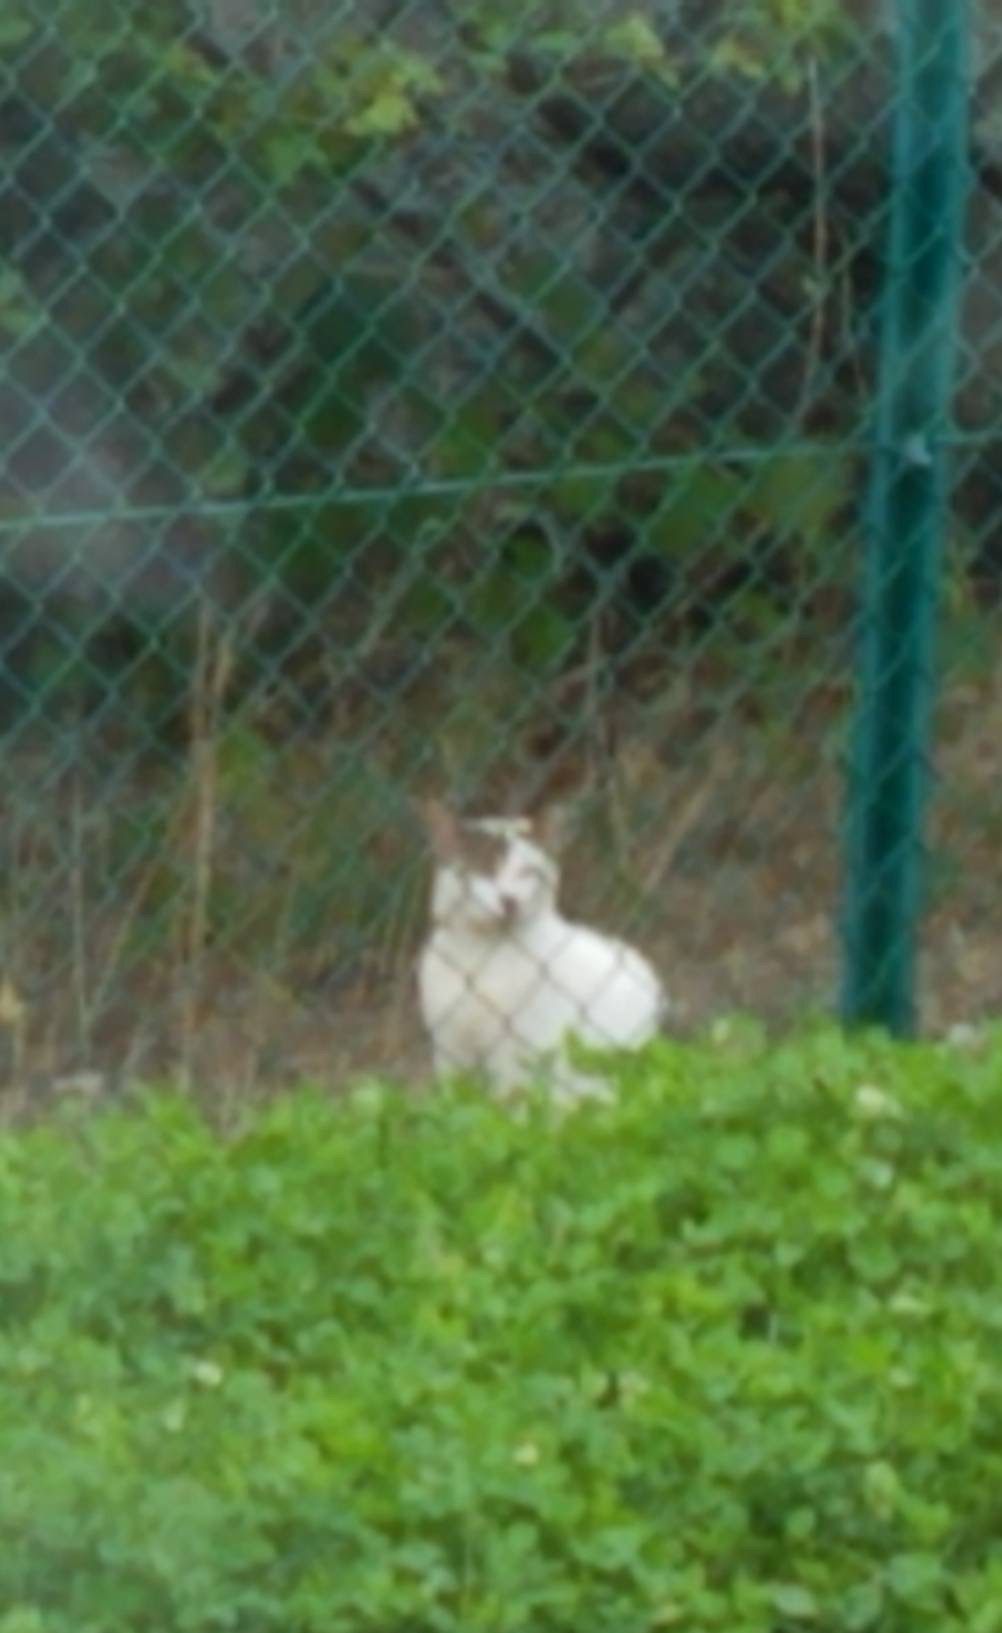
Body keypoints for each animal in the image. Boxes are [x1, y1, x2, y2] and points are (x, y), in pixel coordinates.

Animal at [416, 796, 669, 1103]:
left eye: (528, 872)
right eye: (484, 869)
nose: (509, 900)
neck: (480, 955)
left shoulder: (518, 1055)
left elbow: (510, 1106)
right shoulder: (449, 1049)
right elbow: (454, 1102)